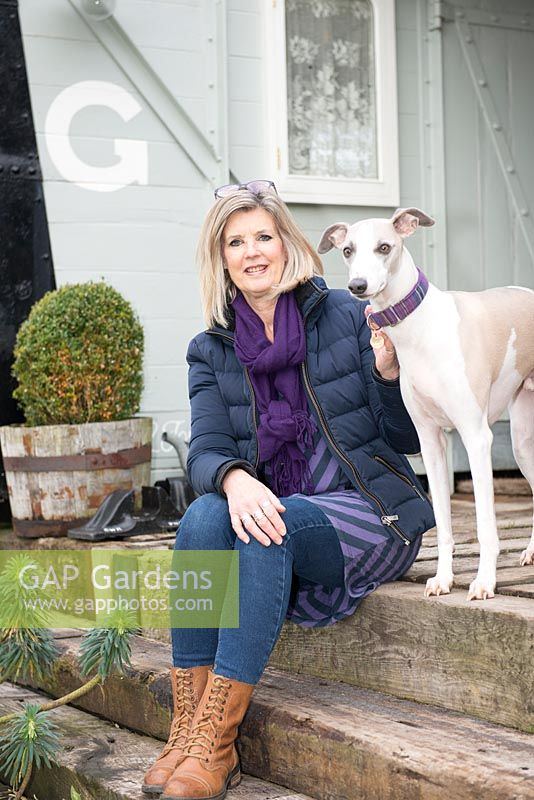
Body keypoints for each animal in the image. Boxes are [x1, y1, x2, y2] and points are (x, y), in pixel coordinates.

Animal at [320, 208, 532, 600]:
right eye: (347, 250)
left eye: (385, 246)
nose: (358, 286)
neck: (419, 326)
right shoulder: (430, 441)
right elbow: (444, 525)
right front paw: (443, 579)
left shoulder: (476, 437)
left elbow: (485, 525)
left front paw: (484, 582)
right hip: (523, 442)